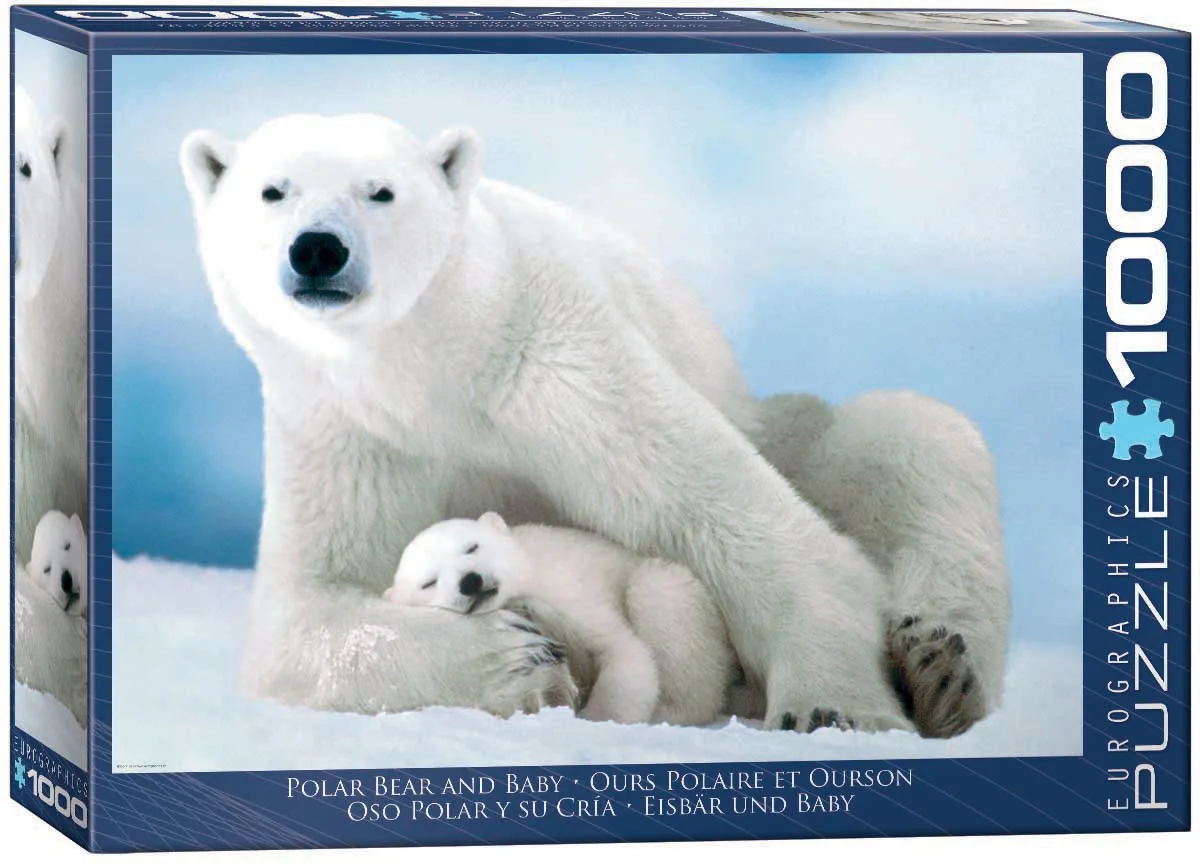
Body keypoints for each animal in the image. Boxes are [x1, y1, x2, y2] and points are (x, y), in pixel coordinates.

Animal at [386, 513, 740, 727]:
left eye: (472, 546)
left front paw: (598, 718)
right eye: (429, 582)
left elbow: (622, 651)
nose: (470, 581)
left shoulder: (567, 589)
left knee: (657, 590)